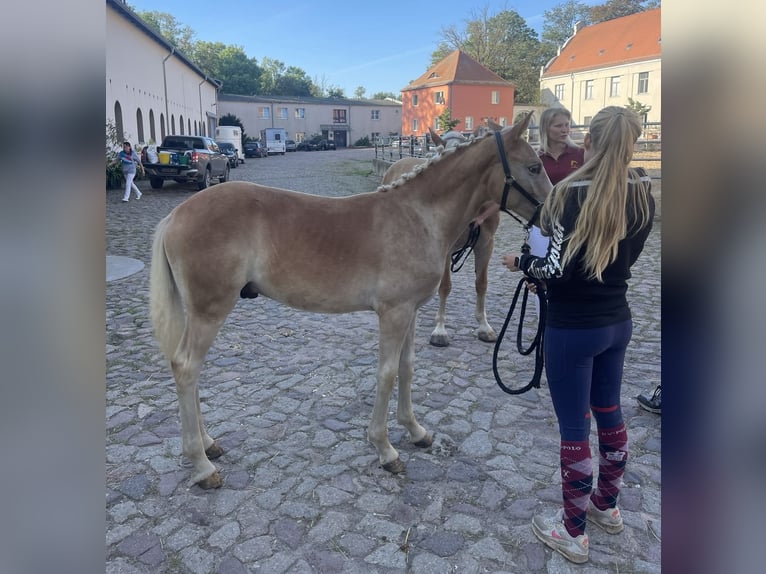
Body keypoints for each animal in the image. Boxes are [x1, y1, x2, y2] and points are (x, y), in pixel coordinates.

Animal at [384, 128, 504, 348]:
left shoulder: (485, 244)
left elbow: (481, 283)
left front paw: (484, 326)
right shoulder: (446, 248)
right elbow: (445, 286)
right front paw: (440, 330)